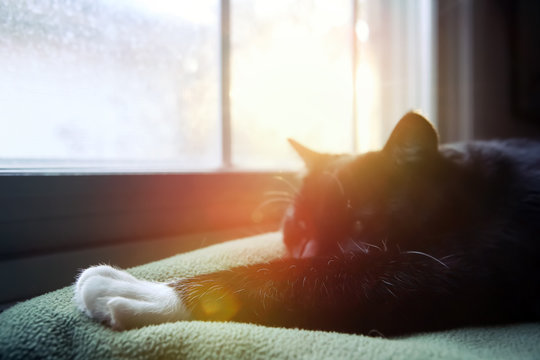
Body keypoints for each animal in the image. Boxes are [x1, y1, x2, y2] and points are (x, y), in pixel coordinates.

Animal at [75, 112, 540, 334]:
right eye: (297, 228)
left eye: (361, 225)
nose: (311, 251)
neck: (470, 187)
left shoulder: (464, 263)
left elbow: (323, 276)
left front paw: (148, 293)